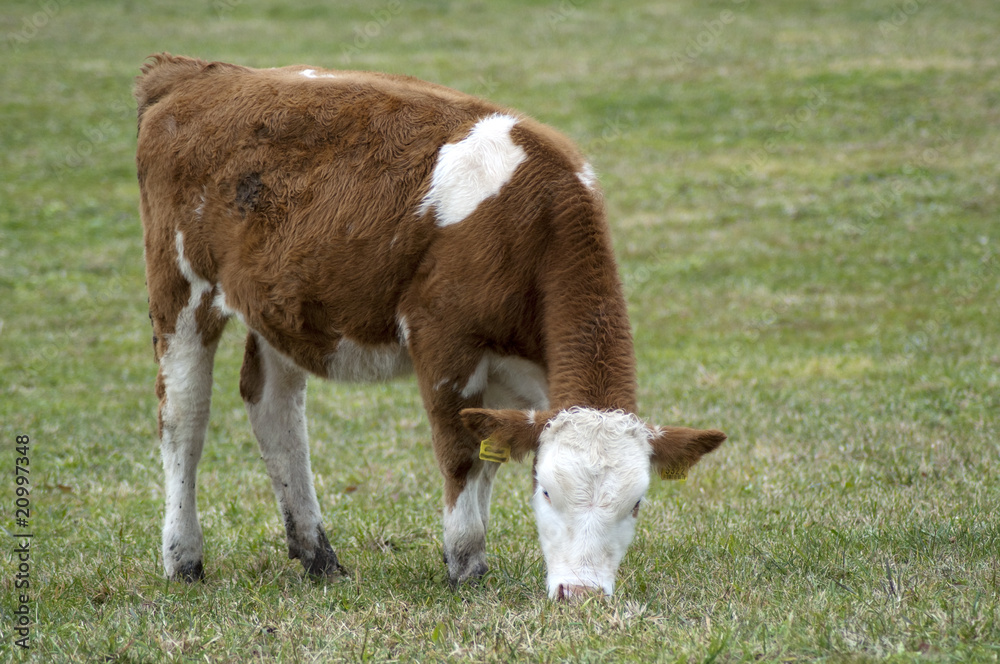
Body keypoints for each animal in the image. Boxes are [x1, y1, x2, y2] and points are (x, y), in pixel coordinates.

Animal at [134, 53, 726, 601]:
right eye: (546, 492)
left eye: (637, 502)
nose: (580, 594)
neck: (531, 222)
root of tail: (197, 73)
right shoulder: (444, 341)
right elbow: (461, 455)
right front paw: (465, 566)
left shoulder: (514, 374)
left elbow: (487, 457)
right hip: (180, 288)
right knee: (183, 416)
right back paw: (183, 559)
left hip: (280, 301)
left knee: (274, 410)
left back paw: (319, 557)